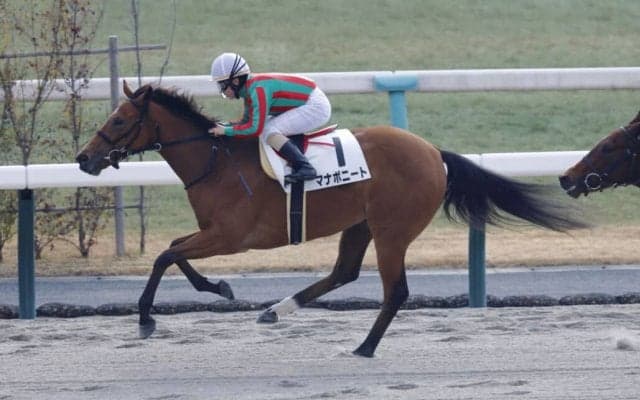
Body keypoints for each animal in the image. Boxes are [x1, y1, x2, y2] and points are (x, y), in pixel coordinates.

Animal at [76, 81, 587, 357]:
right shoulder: (213, 233)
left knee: (394, 290)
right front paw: (217, 288)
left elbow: (164, 256)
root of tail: (432, 152)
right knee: (343, 272)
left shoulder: (231, 236)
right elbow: (173, 252)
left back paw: (364, 346)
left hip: (391, 230)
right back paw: (276, 310)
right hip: (359, 224)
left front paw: (148, 317)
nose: (84, 159)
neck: (216, 161)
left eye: (119, 120)